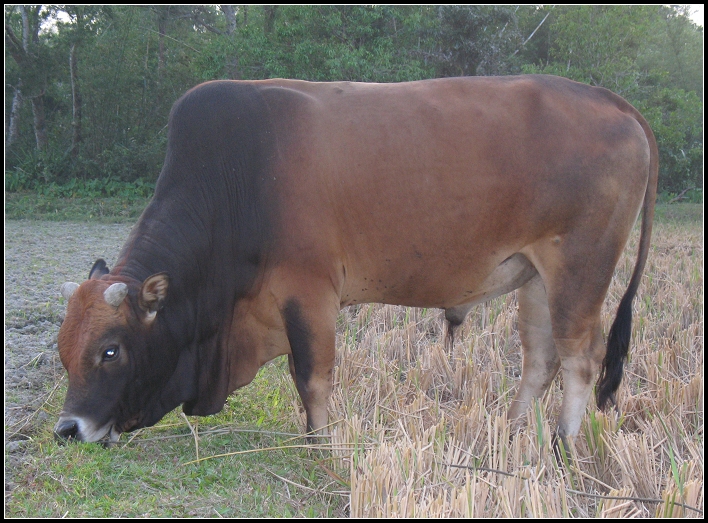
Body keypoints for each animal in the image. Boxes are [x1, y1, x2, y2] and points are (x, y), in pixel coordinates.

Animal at [54, 75, 657, 448]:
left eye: (110, 350)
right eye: (62, 351)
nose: (68, 429)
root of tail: (609, 99)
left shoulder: (309, 291)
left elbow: (311, 376)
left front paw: (319, 445)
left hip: (580, 271)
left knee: (580, 360)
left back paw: (563, 444)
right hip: (536, 277)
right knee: (541, 359)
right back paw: (511, 433)